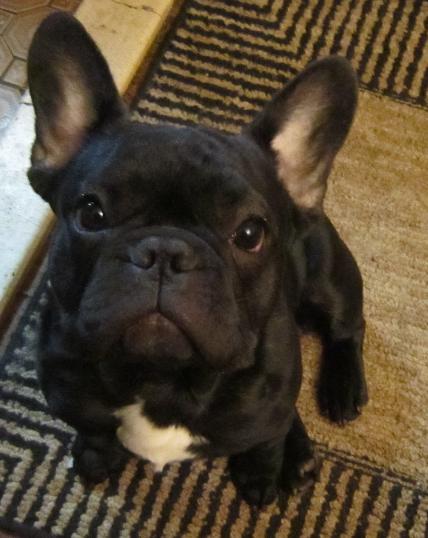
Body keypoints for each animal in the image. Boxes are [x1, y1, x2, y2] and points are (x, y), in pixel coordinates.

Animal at [27, 13, 368, 507]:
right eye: (91, 214)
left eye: (250, 234)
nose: (164, 252)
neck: (160, 380)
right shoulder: (72, 398)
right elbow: (95, 430)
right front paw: (95, 457)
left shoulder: (267, 409)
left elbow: (264, 442)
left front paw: (260, 475)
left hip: (329, 277)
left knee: (347, 326)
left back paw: (342, 392)